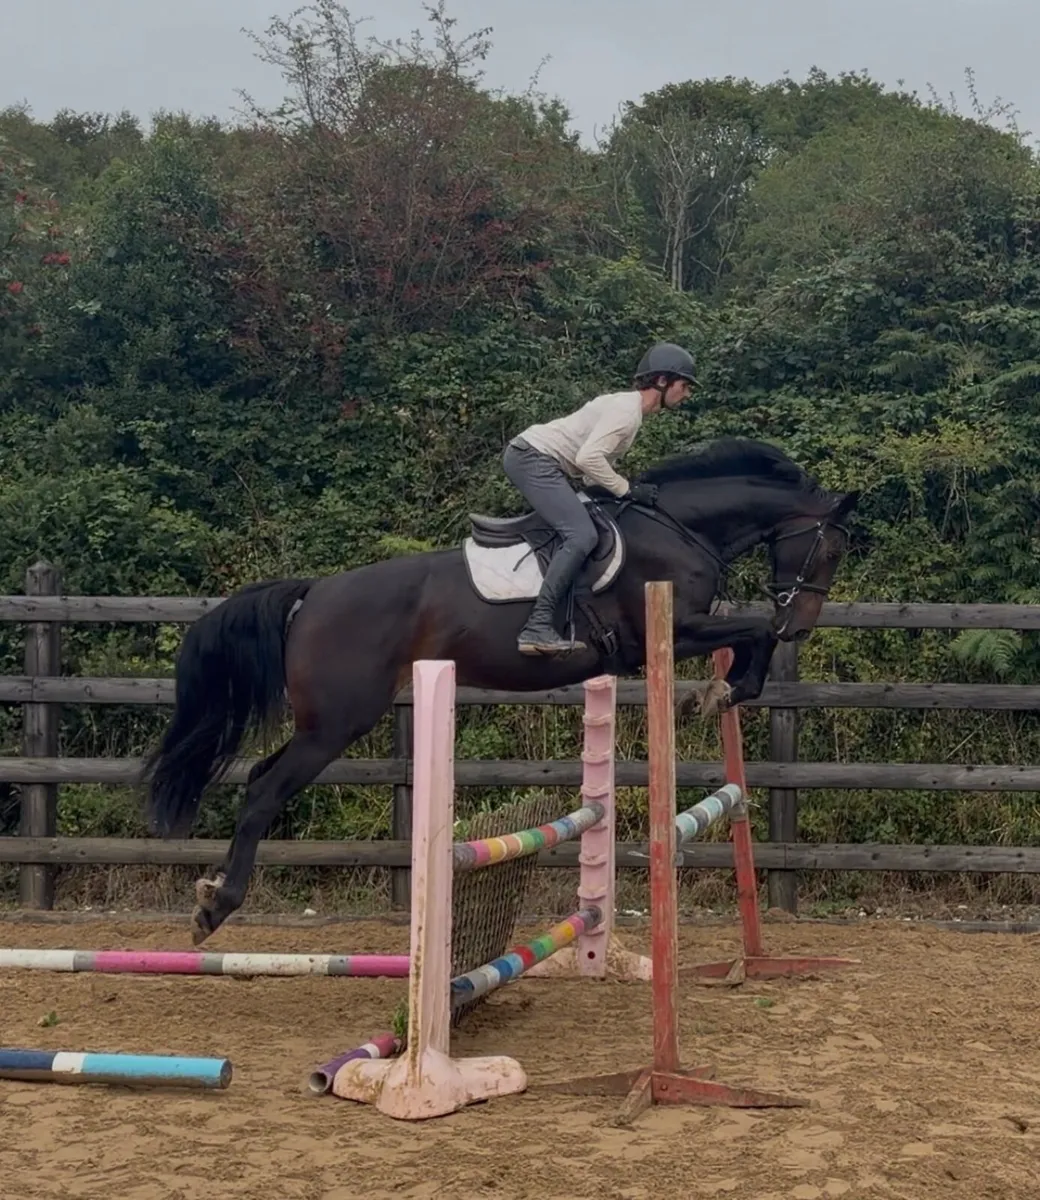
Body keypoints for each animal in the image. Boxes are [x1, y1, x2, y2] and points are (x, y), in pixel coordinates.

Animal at [143, 437, 858, 943]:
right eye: (829, 551)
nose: (803, 622)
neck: (682, 528)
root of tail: (314, 593)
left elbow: (751, 632)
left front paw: (719, 692)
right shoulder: (669, 630)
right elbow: (755, 630)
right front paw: (724, 692)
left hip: (327, 722)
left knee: (259, 775)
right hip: (337, 722)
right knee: (264, 790)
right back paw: (217, 907)